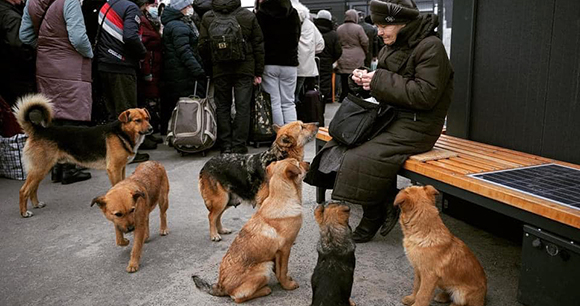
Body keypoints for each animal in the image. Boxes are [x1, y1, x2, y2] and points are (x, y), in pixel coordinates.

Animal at [14, 93, 153, 218]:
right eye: (137, 120)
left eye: (147, 118)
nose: (151, 129)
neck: (122, 133)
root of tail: (38, 130)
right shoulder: (114, 169)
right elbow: (116, 186)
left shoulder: (121, 168)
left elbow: (122, 184)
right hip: (40, 169)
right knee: (23, 190)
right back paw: (24, 213)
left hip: (40, 170)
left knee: (33, 188)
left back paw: (36, 204)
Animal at [193, 159, 310, 302]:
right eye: (298, 163)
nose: (309, 163)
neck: (281, 198)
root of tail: (221, 286)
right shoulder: (285, 249)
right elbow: (283, 270)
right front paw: (288, 285)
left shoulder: (278, 254)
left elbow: (280, 271)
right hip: (264, 267)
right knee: (238, 297)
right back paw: (265, 290)